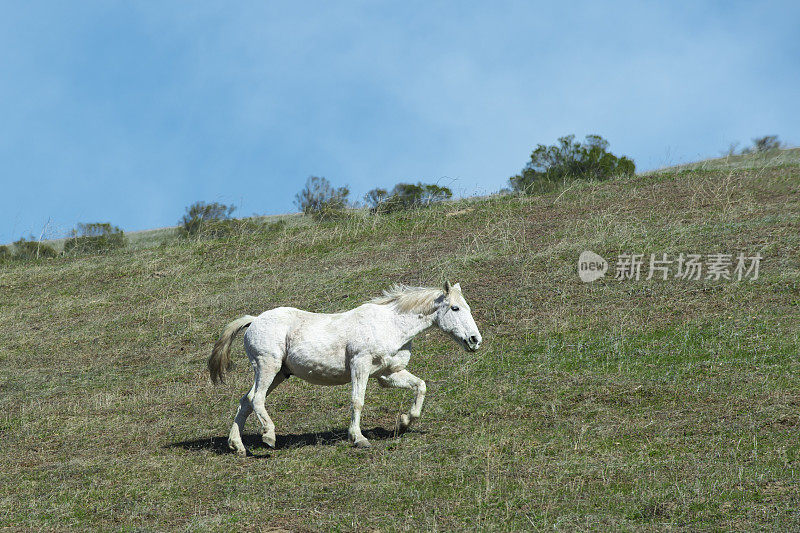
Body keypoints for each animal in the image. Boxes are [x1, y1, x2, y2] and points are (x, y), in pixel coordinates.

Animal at [208, 280, 482, 450]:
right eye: (455, 308)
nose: (475, 340)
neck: (390, 325)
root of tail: (254, 320)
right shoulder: (360, 366)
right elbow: (357, 401)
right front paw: (358, 438)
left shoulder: (388, 374)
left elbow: (420, 386)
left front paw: (404, 422)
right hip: (267, 366)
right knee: (256, 399)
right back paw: (269, 436)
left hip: (279, 374)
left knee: (246, 400)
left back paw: (238, 446)